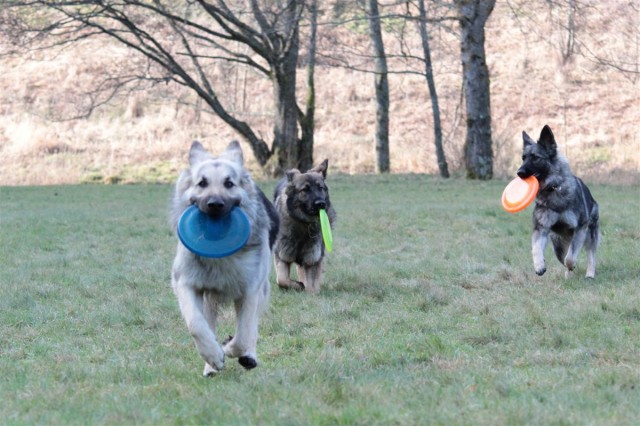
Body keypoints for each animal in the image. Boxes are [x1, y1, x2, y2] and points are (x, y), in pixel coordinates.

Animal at [170, 141, 278, 376]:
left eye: (229, 183)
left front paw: (229, 349)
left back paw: (247, 356)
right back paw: (210, 365)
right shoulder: (186, 283)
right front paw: (213, 355)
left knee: (251, 327)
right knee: (208, 322)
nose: (215, 204)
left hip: (260, 288)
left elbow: (244, 333)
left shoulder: (250, 290)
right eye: (202, 183)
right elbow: (196, 324)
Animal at [272, 160, 338, 292]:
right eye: (305, 190)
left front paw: (310, 291)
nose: (321, 204)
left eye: (320, 188)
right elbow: (282, 280)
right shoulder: (282, 256)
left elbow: (311, 286)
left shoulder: (312, 258)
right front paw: (298, 285)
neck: (303, 224)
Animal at [516, 125, 600, 280]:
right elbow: (536, 248)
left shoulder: (580, 229)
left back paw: (589, 275)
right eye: (523, 158)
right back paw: (568, 276)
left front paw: (573, 266)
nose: (519, 173)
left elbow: (571, 258)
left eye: (536, 158)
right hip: (558, 245)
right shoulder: (541, 229)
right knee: (564, 257)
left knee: (590, 255)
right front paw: (539, 265)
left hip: (590, 234)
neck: (552, 188)